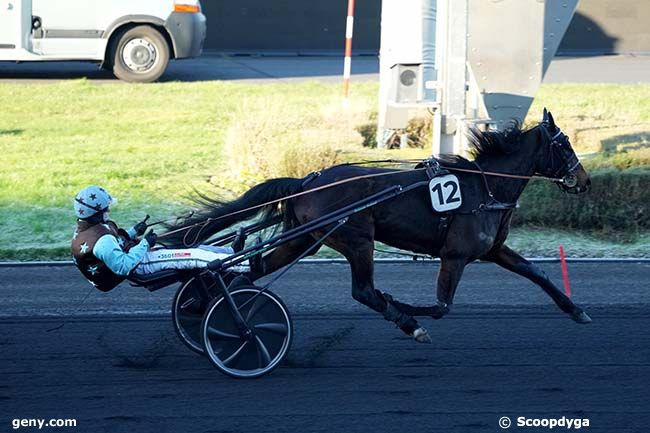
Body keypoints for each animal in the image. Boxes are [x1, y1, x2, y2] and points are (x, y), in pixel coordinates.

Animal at [163, 109, 592, 342]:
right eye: (565, 144)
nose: (584, 179)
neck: (485, 187)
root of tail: (307, 181)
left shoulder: (493, 249)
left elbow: (537, 273)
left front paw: (576, 310)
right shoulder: (455, 255)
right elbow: (441, 306)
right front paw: (405, 310)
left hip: (306, 239)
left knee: (247, 273)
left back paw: (210, 308)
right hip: (357, 239)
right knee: (363, 291)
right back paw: (405, 321)